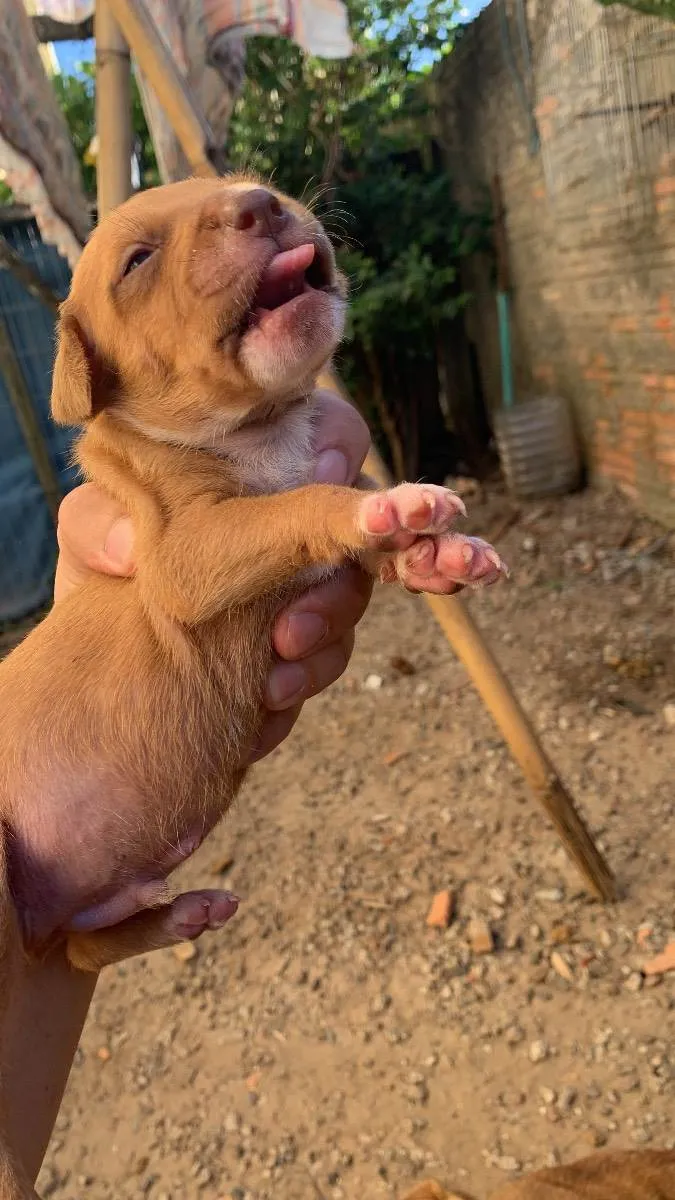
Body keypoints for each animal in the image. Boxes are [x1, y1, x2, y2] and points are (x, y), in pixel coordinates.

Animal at [0, 174, 504, 1195]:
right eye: (137, 259)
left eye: (243, 181)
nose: (260, 201)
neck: (259, 433)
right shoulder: (190, 553)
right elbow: (307, 506)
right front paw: (390, 503)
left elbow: (364, 543)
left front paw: (441, 551)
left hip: (74, 917)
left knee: (80, 944)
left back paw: (178, 912)